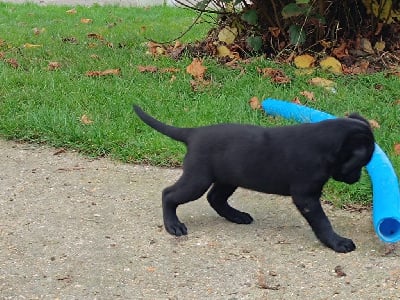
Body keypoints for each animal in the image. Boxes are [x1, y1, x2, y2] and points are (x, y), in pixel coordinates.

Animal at [134, 104, 376, 252]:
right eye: (361, 163)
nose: (356, 179)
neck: (324, 145)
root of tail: (193, 133)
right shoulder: (306, 196)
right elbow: (322, 222)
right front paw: (337, 242)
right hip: (198, 179)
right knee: (169, 194)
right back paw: (173, 225)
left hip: (228, 177)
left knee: (215, 198)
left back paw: (236, 216)